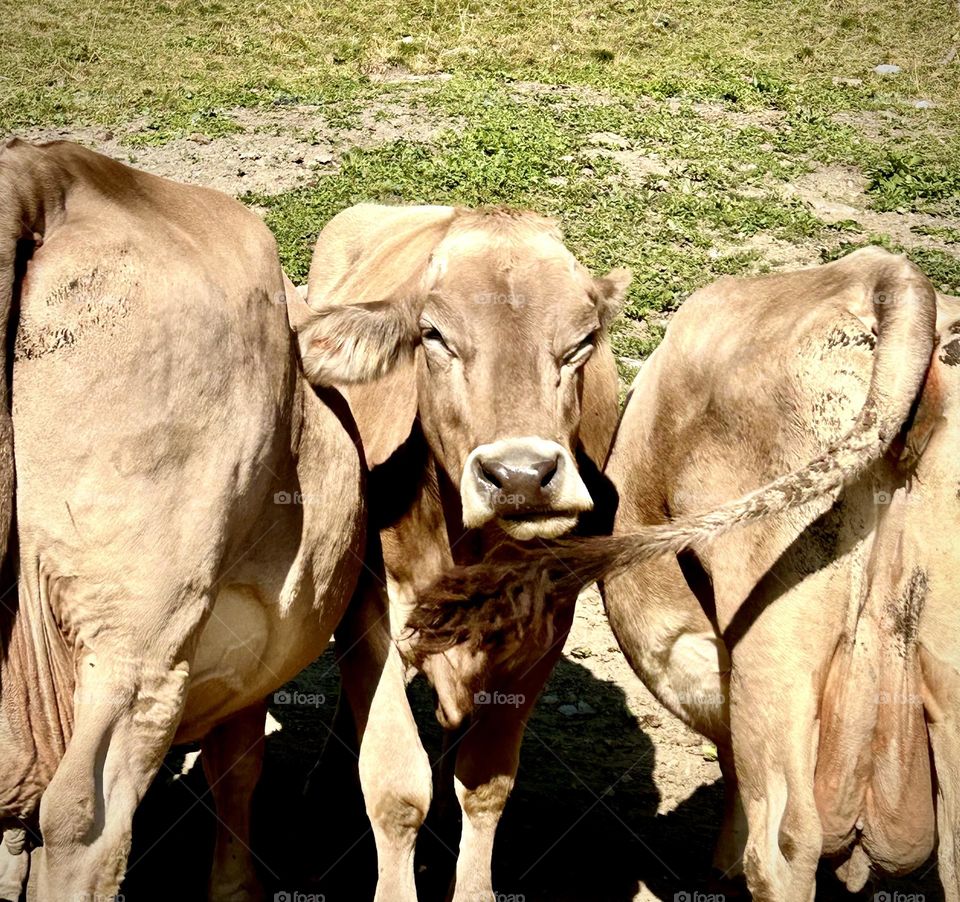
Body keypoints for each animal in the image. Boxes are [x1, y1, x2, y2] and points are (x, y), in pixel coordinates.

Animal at [294, 205, 632, 902]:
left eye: (583, 340)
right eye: (434, 335)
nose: (522, 476)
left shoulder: (545, 627)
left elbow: (484, 783)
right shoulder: (373, 615)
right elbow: (396, 786)